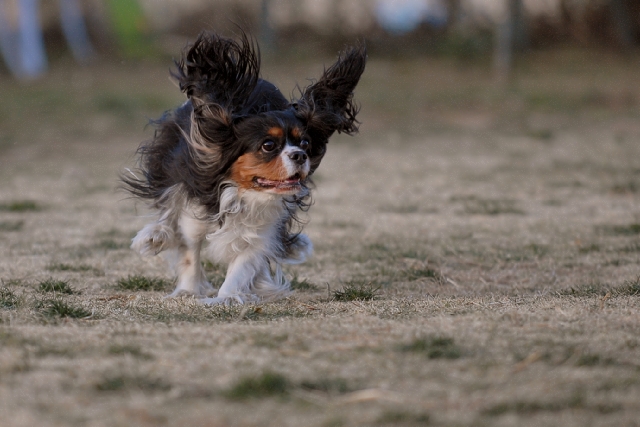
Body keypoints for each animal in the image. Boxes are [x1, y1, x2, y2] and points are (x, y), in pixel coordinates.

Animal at [122, 32, 368, 308]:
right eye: (268, 145)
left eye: (305, 143)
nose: (300, 155)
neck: (243, 192)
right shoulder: (194, 213)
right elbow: (189, 252)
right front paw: (188, 290)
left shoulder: (263, 228)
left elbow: (244, 264)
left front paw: (228, 296)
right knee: (167, 207)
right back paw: (156, 234)